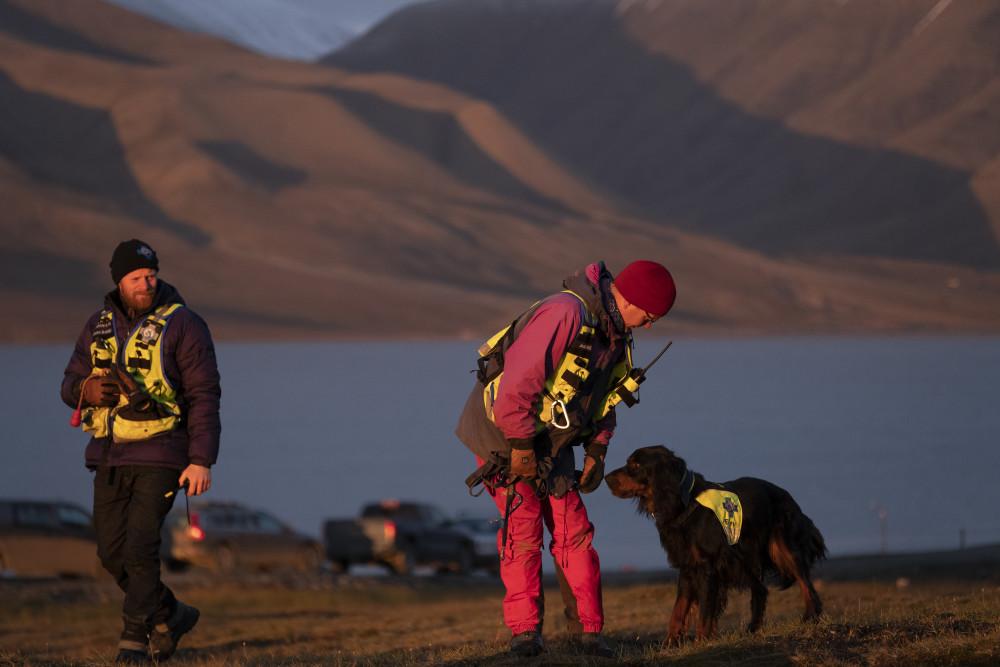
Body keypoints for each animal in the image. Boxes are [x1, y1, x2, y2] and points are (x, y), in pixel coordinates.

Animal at [600, 446, 828, 644]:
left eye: (636, 465)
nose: (606, 478)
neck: (685, 502)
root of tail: (788, 496)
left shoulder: (707, 566)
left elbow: (704, 611)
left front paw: (701, 640)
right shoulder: (688, 566)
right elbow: (678, 609)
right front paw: (670, 642)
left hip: (783, 547)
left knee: (806, 583)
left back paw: (811, 617)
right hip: (746, 558)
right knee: (761, 589)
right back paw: (752, 628)